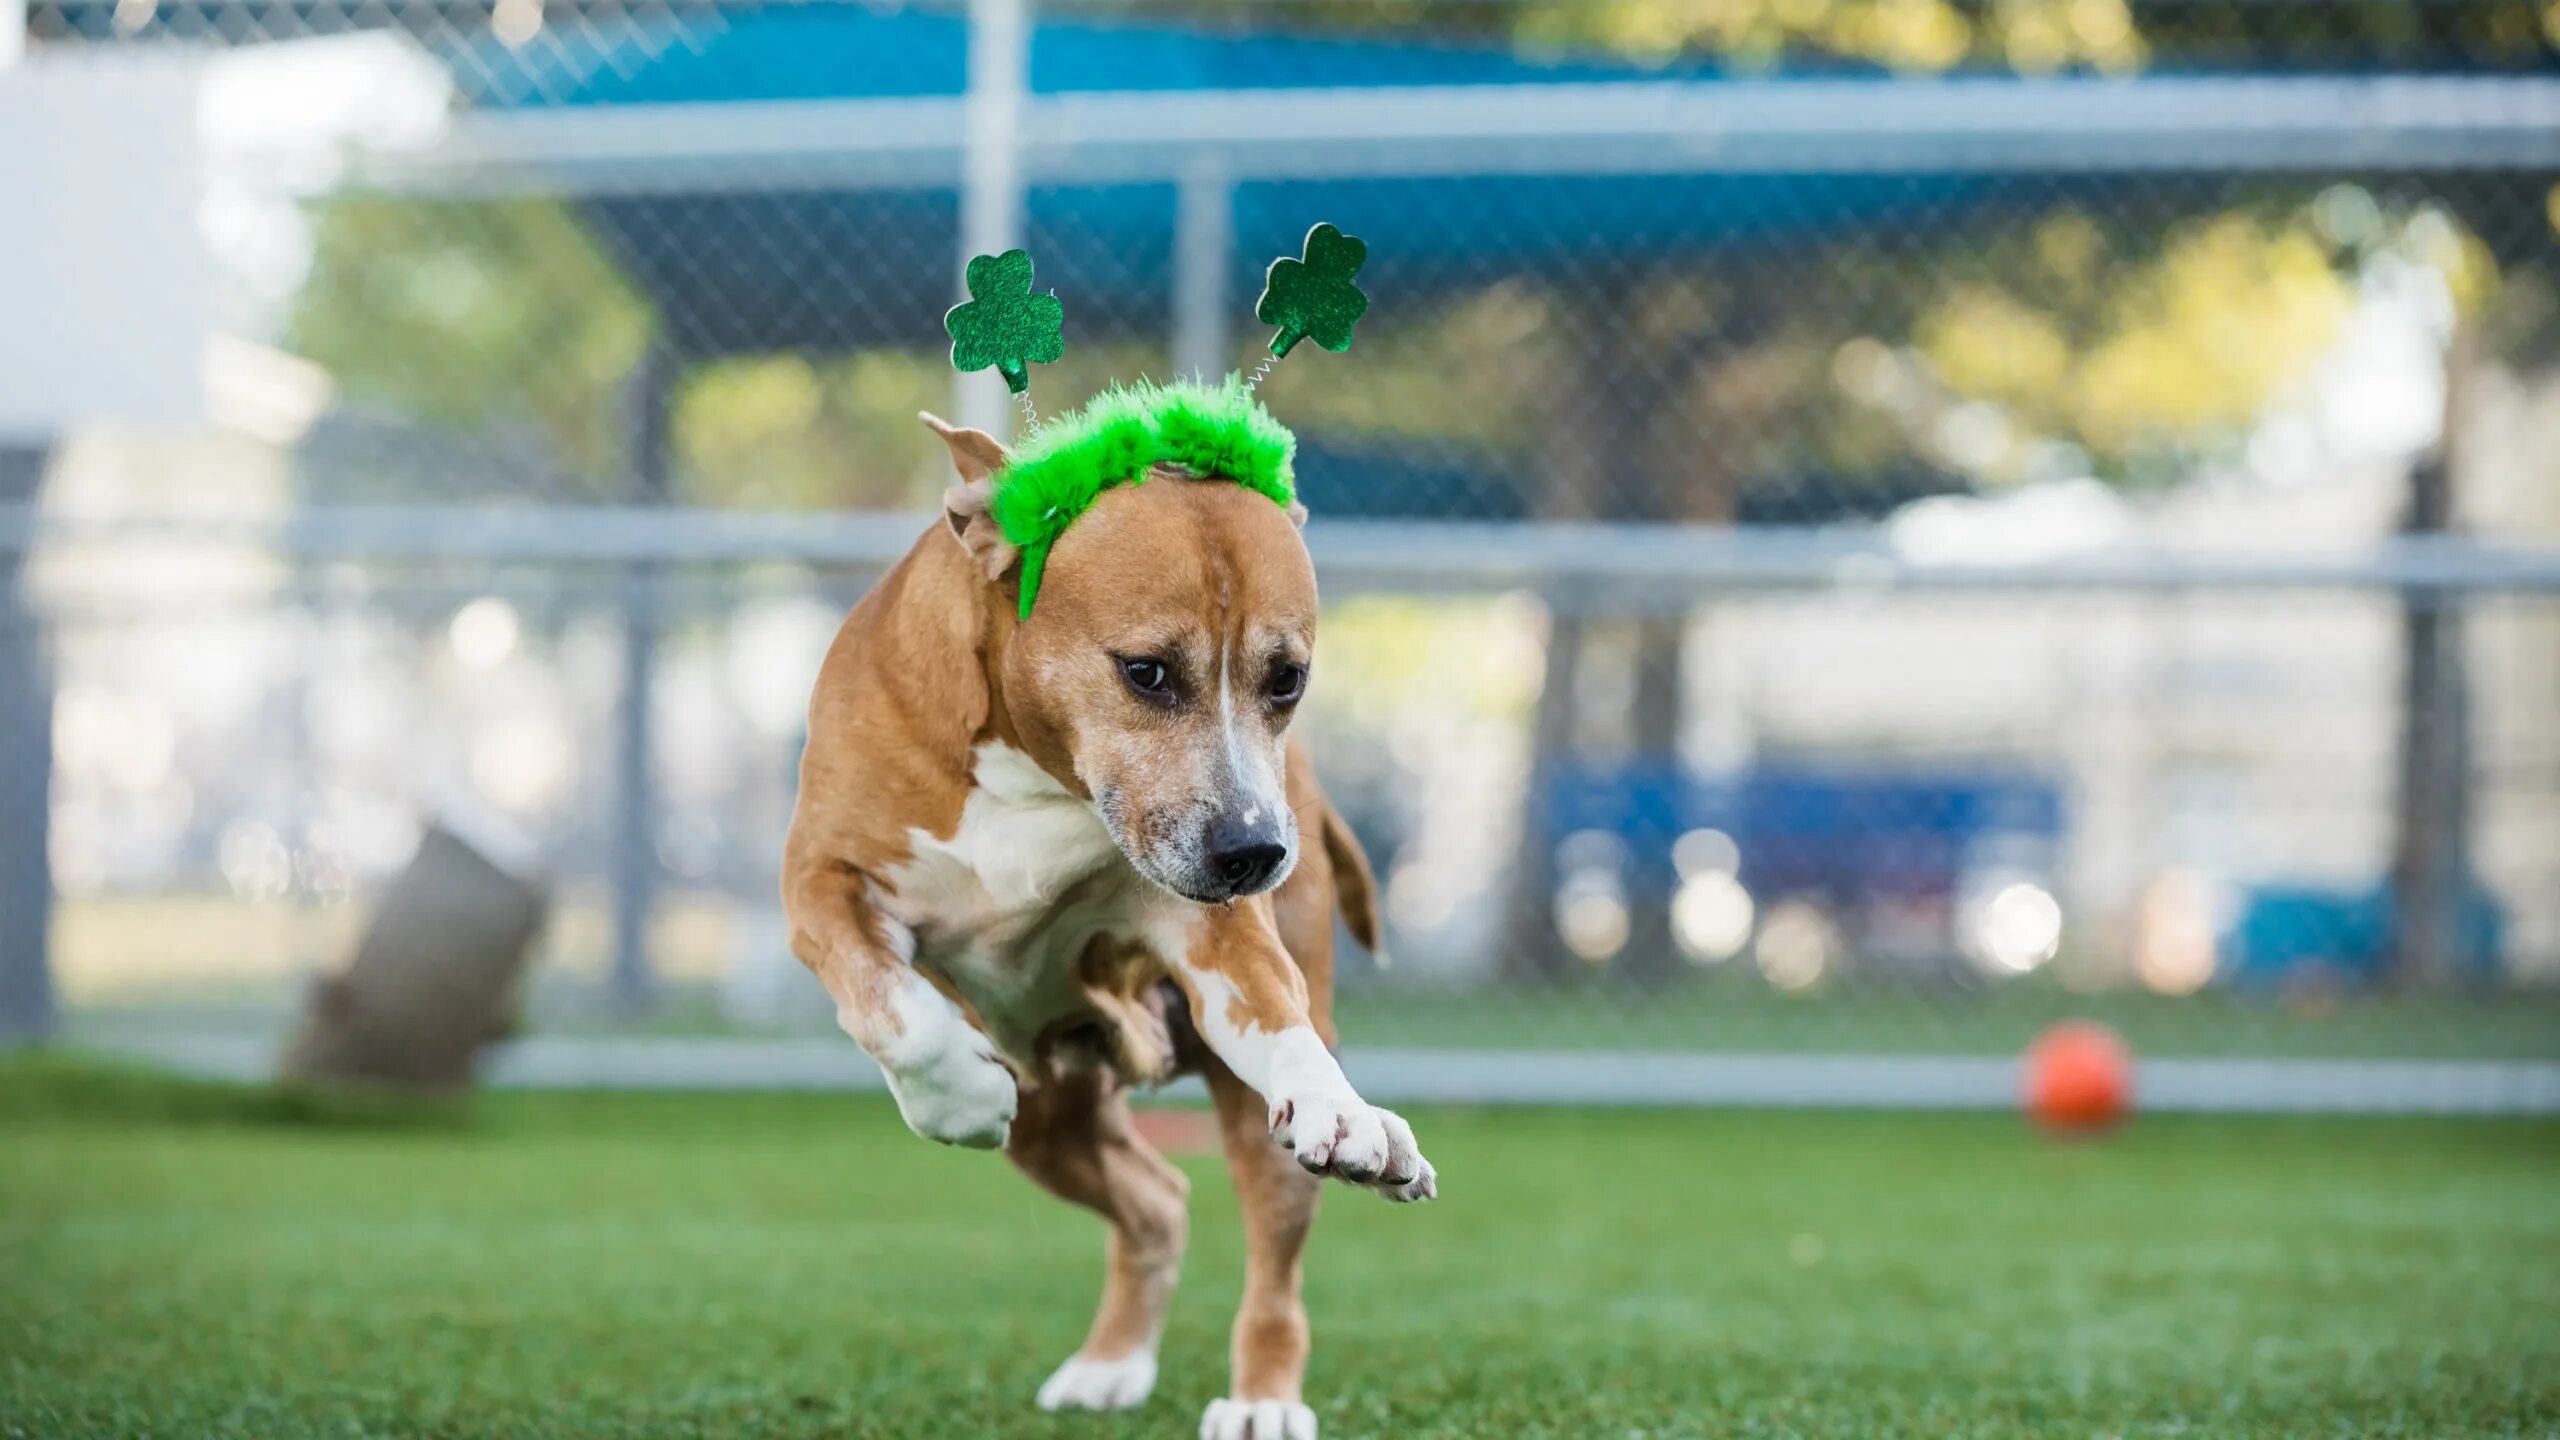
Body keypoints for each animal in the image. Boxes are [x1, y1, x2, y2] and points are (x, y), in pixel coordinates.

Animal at [778, 409, 1433, 1424]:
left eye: (1287, 680)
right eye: (1147, 672)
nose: (1256, 851)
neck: (1036, 779)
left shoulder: (1215, 933)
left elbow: (1276, 1015)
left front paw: (1341, 1106)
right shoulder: (819, 876)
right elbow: (883, 995)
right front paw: (952, 1095)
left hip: (1240, 1125)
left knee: (1270, 1269)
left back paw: (1259, 1400)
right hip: (1049, 1118)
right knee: (1156, 1199)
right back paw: (1111, 1362)